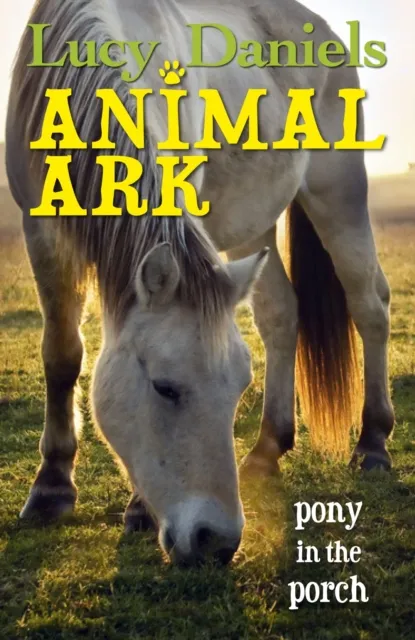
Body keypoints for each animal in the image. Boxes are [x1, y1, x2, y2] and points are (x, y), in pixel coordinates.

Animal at [6, 0, 394, 566]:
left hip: (337, 194)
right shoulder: (41, 229)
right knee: (281, 315)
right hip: (255, 228)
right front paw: (51, 487)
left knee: (370, 306)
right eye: (165, 388)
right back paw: (268, 449)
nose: (217, 541)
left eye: (237, 388)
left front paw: (137, 510)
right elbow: (61, 354)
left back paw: (373, 443)